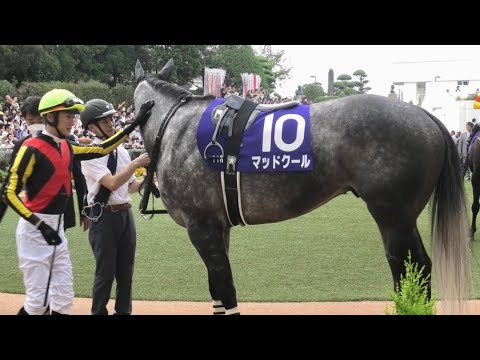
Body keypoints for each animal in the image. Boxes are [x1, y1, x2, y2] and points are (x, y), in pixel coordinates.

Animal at [134, 60, 468, 314]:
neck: (175, 127)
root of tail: (422, 113)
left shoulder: (201, 226)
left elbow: (224, 287)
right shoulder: (218, 226)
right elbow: (216, 288)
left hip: (393, 217)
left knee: (409, 265)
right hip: (401, 218)